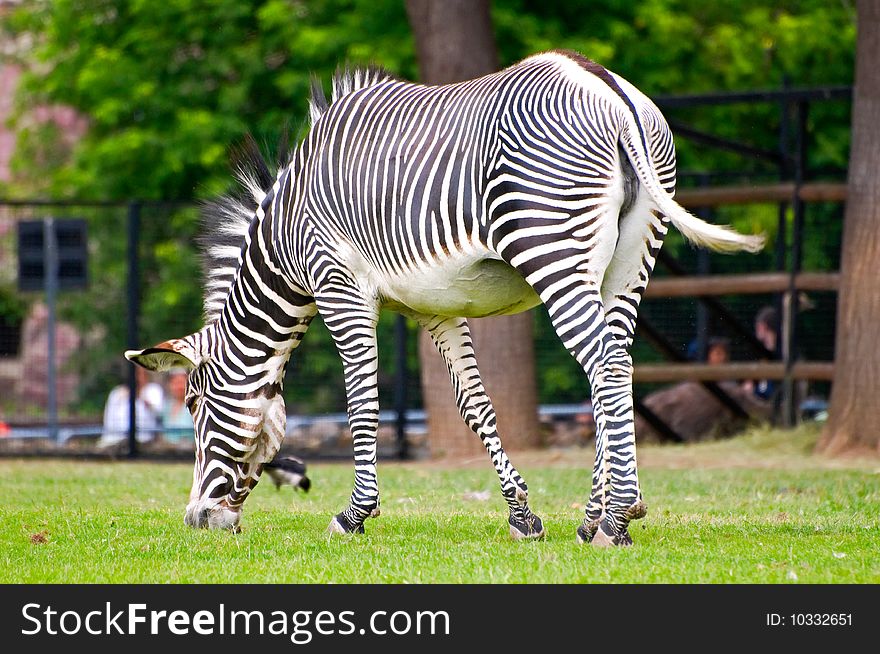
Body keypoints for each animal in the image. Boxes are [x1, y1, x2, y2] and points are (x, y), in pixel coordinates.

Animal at [125, 48, 764, 544]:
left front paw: (354, 516)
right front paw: (522, 517)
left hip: (551, 247)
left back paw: (617, 517)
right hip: (630, 260)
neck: (283, 238)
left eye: (192, 406)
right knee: (618, 364)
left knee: (602, 363)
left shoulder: (340, 287)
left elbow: (364, 399)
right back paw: (592, 518)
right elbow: (473, 406)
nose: (197, 521)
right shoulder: (435, 308)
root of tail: (606, 87)